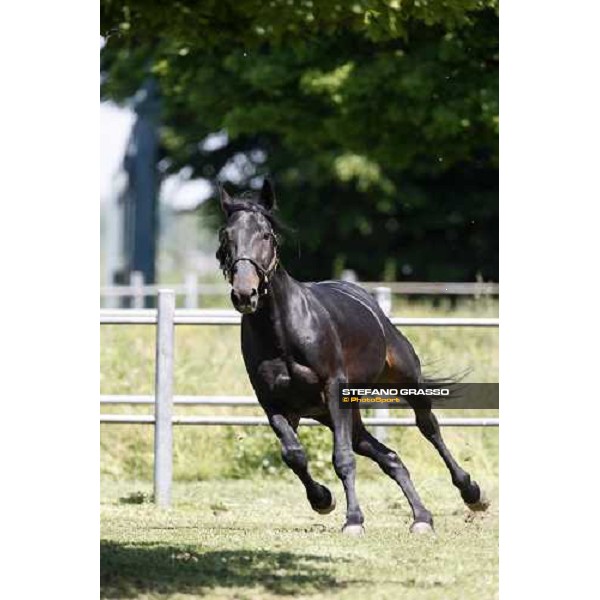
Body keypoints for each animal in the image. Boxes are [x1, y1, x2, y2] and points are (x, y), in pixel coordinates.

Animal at [216, 179, 488, 536]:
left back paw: (471, 493)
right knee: (390, 457)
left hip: (403, 383)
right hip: (341, 414)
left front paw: (354, 520)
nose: (244, 294)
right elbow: (293, 455)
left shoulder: (333, 388)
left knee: (428, 428)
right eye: (226, 236)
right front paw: (322, 500)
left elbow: (342, 458)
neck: (282, 332)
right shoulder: (273, 403)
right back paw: (421, 518)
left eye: (266, 235)